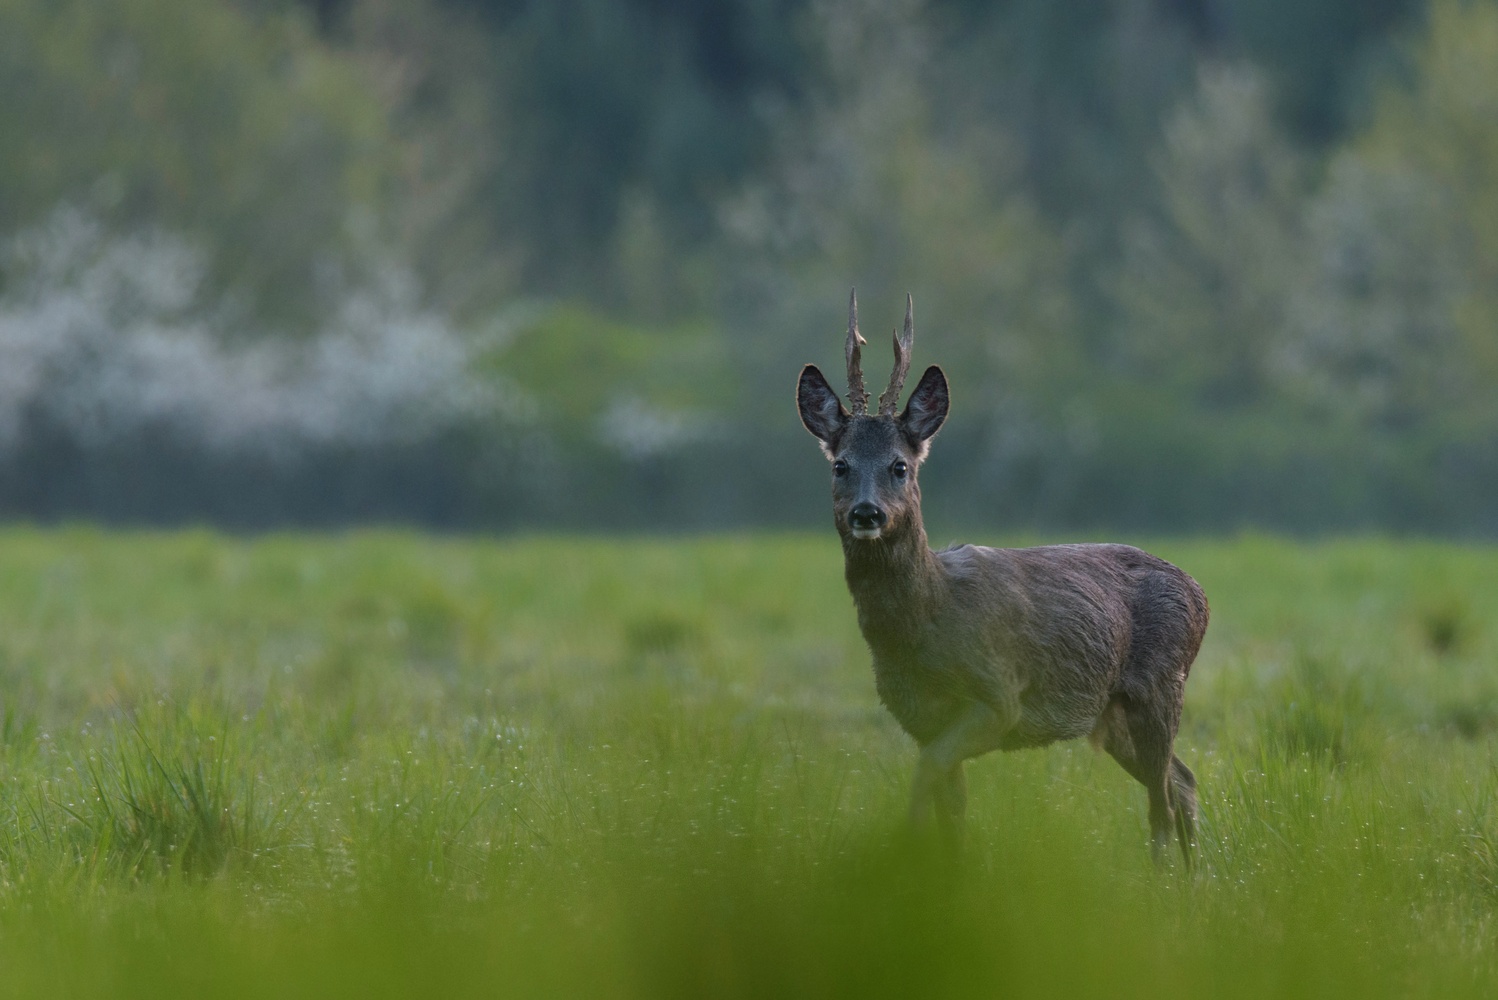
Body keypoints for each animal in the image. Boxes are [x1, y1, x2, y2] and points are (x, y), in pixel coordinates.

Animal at [796, 287, 1204, 862]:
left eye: (900, 465)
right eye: (841, 465)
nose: (867, 513)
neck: (926, 623)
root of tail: (1199, 590)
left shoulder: (1000, 696)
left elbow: (927, 777)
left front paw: (905, 846)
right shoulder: (920, 718)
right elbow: (951, 810)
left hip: (1162, 683)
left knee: (1163, 804)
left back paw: (1169, 876)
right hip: (1112, 710)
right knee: (1181, 782)